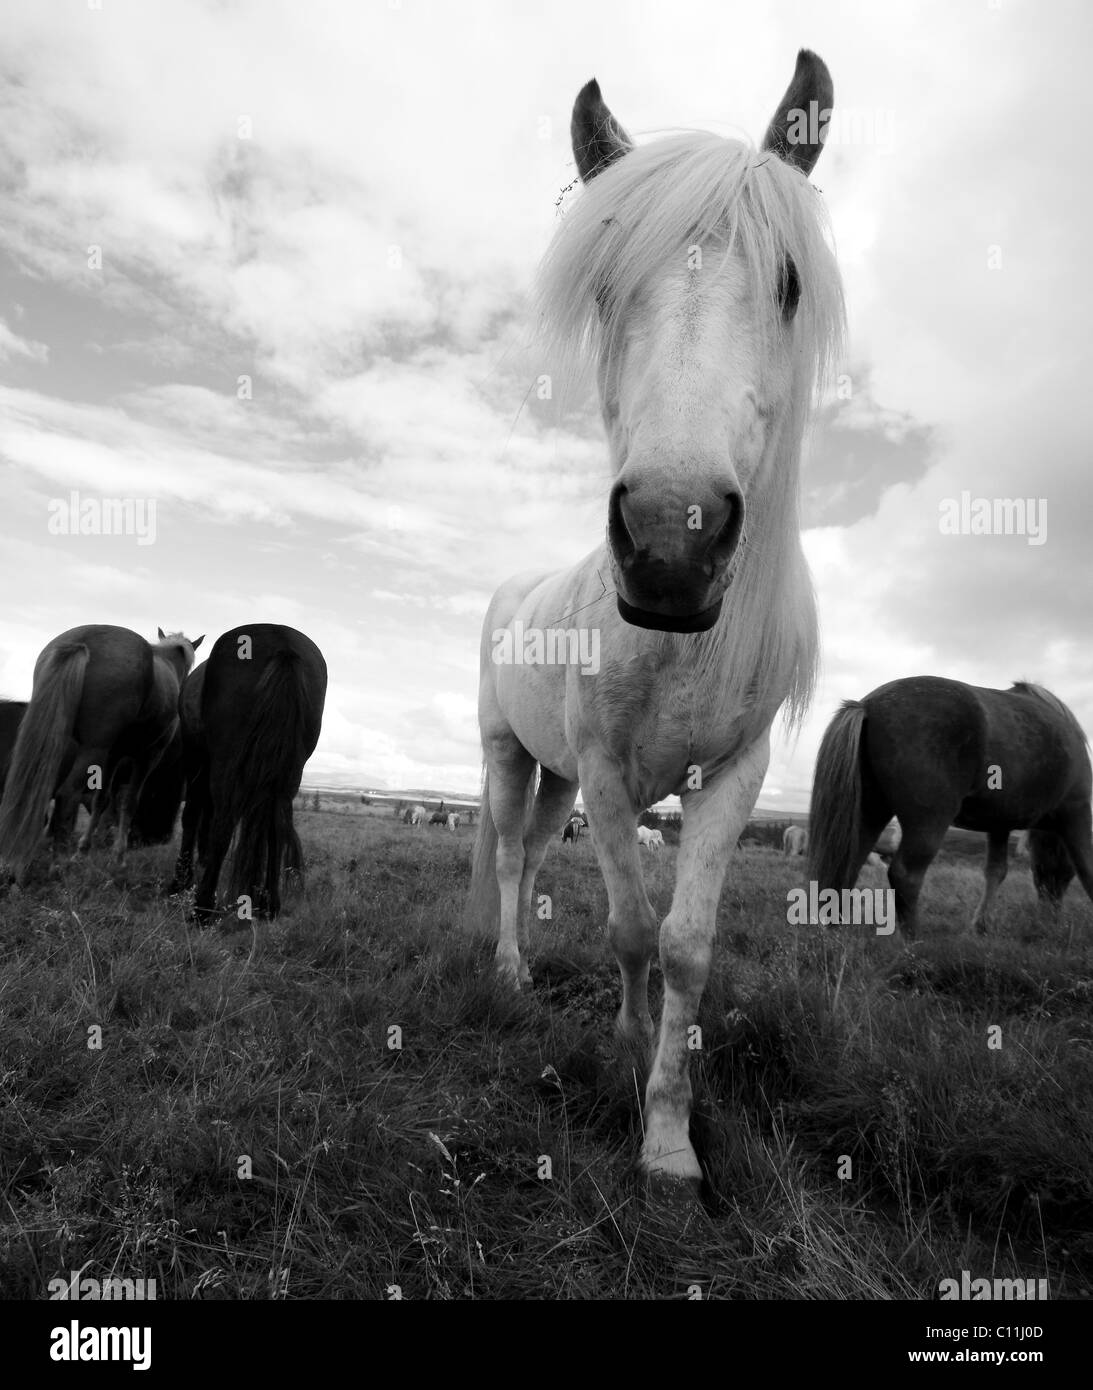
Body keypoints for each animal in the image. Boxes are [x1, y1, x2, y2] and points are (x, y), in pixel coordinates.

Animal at [0, 628, 200, 878]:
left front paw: (83, 852)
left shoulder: (113, 755)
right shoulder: (148, 756)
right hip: (93, 749)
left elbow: (101, 800)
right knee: (67, 794)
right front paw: (119, 858)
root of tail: (81, 641)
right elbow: (129, 802)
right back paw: (57, 865)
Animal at [168, 625, 324, 917]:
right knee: (277, 825)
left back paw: (203, 908)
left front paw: (181, 881)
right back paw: (269, 905)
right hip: (288, 773)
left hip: (224, 763)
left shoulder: (195, 755)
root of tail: (282, 642)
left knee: (223, 822)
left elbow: (193, 815)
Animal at [458, 54, 845, 1184]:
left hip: (553, 780)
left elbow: (683, 943)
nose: (673, 541)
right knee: (509, 857)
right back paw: (509, 972)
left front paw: (670, 1135)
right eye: (603, 284)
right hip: (512, 756)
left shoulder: (730, 777)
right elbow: (631, 927)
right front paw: (628, 1044)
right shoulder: (607, 774)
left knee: (537, 857)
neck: (679, 644)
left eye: (789, 283)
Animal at [806, 678, 1090, 939]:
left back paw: (836, 934)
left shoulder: (1000, 825)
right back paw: (913, 942)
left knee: (850, 865)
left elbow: (996, 872)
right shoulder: (1076, 812)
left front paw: (980, 926)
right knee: (905, 875)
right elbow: (1087, 870)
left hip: (870, 813)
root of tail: (869, 705)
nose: (1050, 919)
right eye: (1063, 873)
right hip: (929, 822)